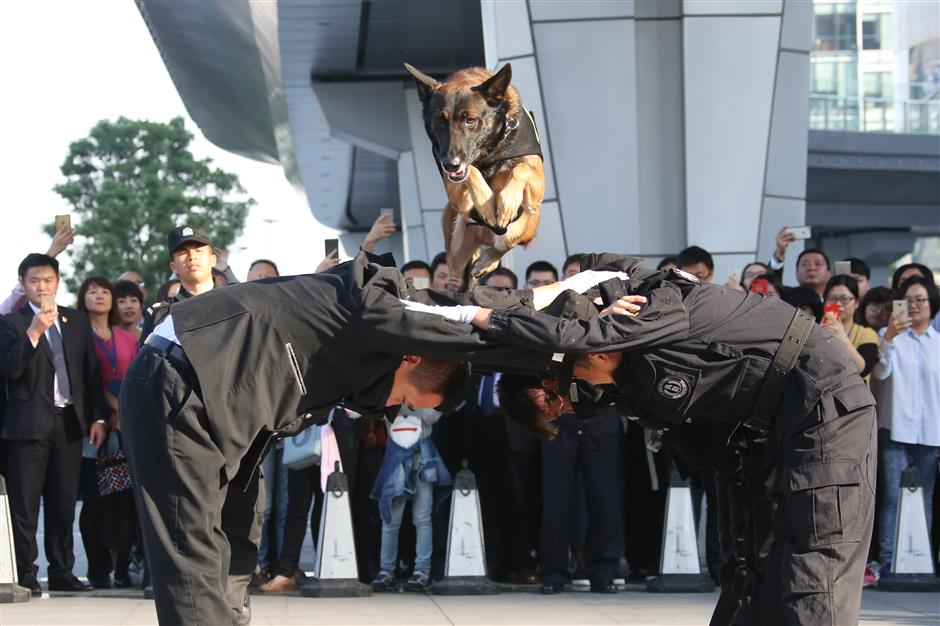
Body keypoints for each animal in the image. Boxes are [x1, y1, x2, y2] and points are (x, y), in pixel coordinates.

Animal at [404, 63, 544, 288]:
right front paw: (486, 205)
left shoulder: (537, 187)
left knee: (504, 244)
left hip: (525, 224)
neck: (490, 151)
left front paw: (507, 202)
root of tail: (483, 237)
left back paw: (488, 260)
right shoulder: (455, 192)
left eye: (470, 120)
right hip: (455, 248)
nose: (450, 164)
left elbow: (521, 168)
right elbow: (472, 172)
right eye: (439, 121)